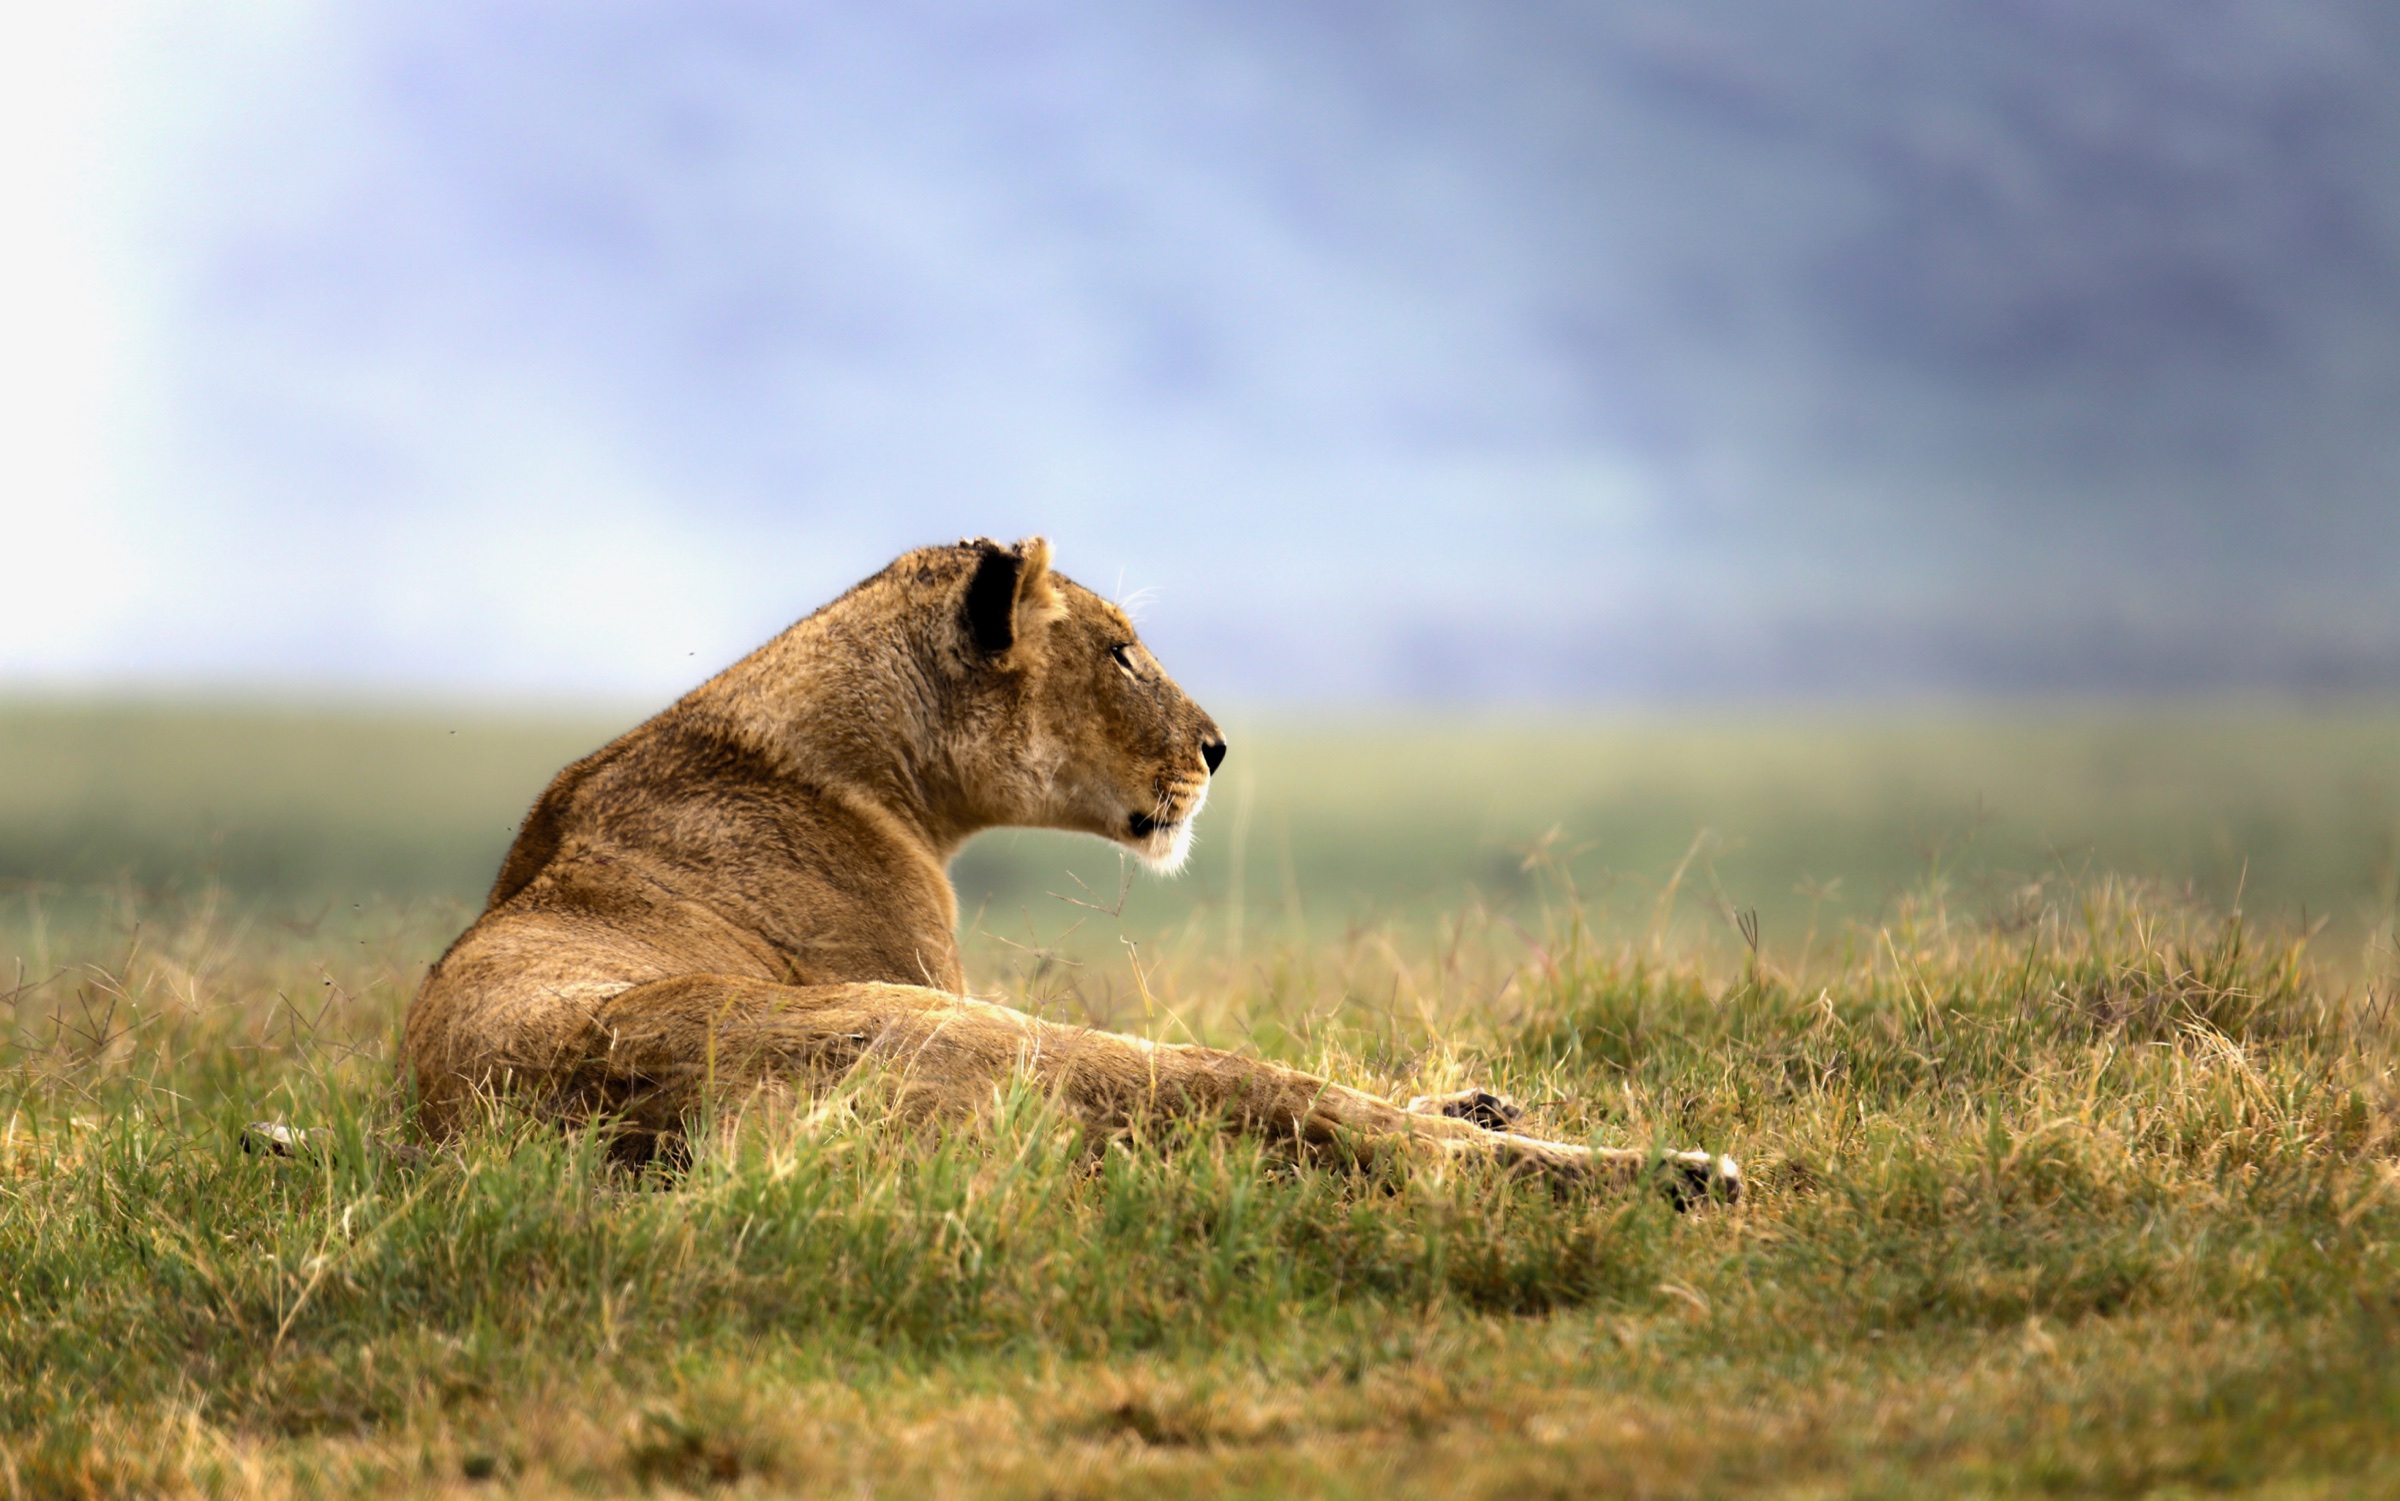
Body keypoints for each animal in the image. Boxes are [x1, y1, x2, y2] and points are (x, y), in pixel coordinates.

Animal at [400, 538, 1738, 1202]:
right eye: (1123, 652)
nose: (1218, 746)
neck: (871, 760)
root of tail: (661, 1133)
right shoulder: (925, 964)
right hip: (983, 1030)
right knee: (1289, 1103)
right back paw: (1675, 1172)